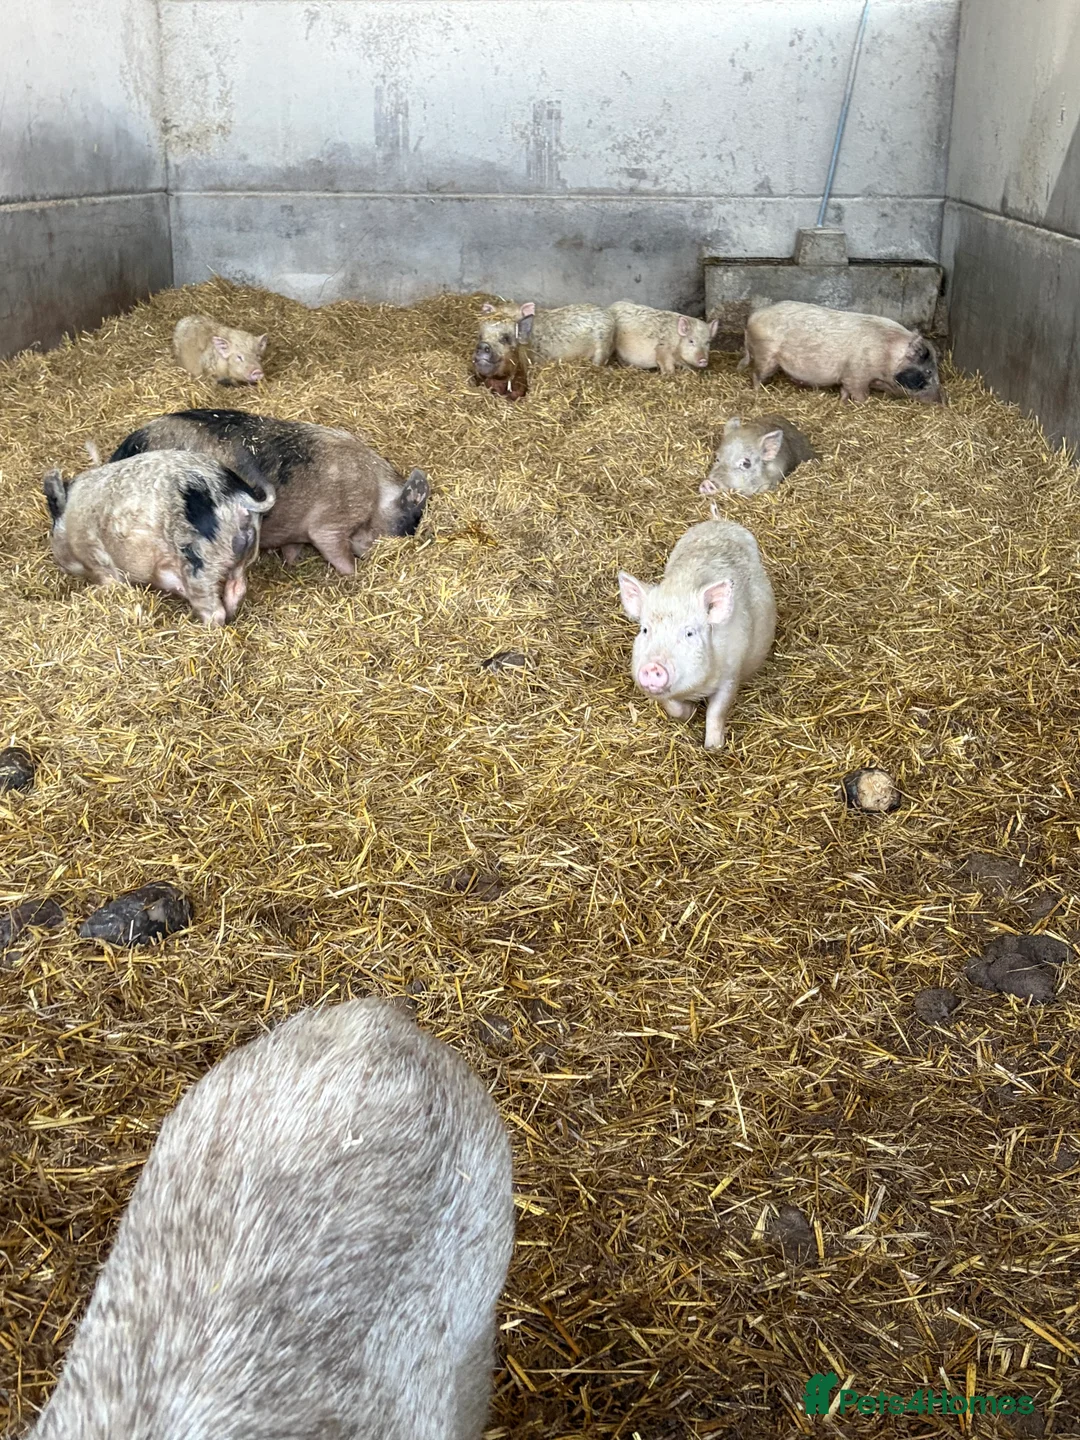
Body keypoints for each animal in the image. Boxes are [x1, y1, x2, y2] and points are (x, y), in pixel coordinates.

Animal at [43, 449, 274, 626]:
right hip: (243, 554)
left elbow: (111, 583)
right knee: (237, 588)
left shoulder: (98, 559)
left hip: (200, 562)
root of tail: (235, 497)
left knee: (214, 610)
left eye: (52, 528)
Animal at [110, 409, 430, 576]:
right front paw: (354, 574)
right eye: (408, 521)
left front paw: (291, 562)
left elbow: (293, 549)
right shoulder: (333, 520)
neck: (376, 493)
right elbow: (335, 549)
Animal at [618, 519, 776, 750]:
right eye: (645, 630)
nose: (653, 666)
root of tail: (719, 520)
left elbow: (717, 711)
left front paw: (713, 748)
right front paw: (690, 713)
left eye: (689, 633)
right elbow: (672, 707)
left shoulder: (731, 674)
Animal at [741, 301, 943, 403]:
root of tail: (752, 318)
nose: (943, 401)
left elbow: (845, 391)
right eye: (929, 371)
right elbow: (861, 395)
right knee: (756, 374)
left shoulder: (848, 376)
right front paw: (864, 405)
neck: (887, 356)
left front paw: (842, 403)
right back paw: (759, 392)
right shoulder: (858, 376)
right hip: (765, 355)